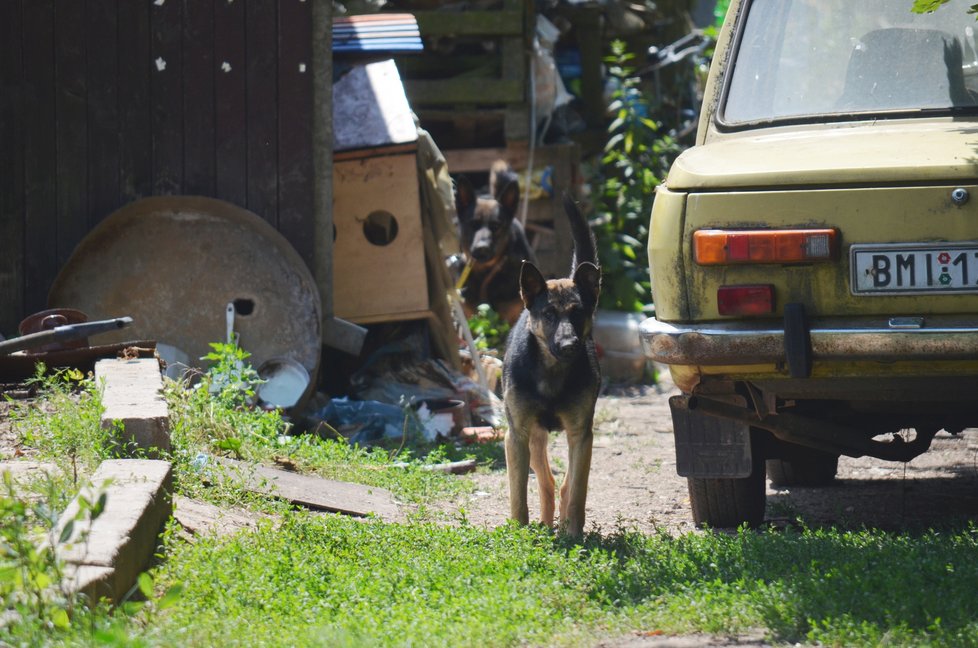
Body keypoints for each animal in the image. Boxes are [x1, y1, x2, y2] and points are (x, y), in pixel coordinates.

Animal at [500, 195, 600, 540]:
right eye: (549, 315)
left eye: (578, 312)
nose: (569, 345)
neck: (552, 372)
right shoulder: (516, 435)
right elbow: (518, 493)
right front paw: (519, 529)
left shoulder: (581, 435)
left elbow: (578, 490)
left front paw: (574, 535)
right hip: (534, 437)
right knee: (546, 481)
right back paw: (543, 525)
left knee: (564, 484)